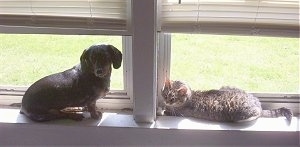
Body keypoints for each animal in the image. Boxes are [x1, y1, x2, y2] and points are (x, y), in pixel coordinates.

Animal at [162, 78, 292, 124]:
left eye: (173, 99)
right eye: (165, 95)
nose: (167, 102)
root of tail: (258, 103)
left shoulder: (180, 112)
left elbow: (169, 112)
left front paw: (165, 110)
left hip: (241, 113)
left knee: (256, 114)